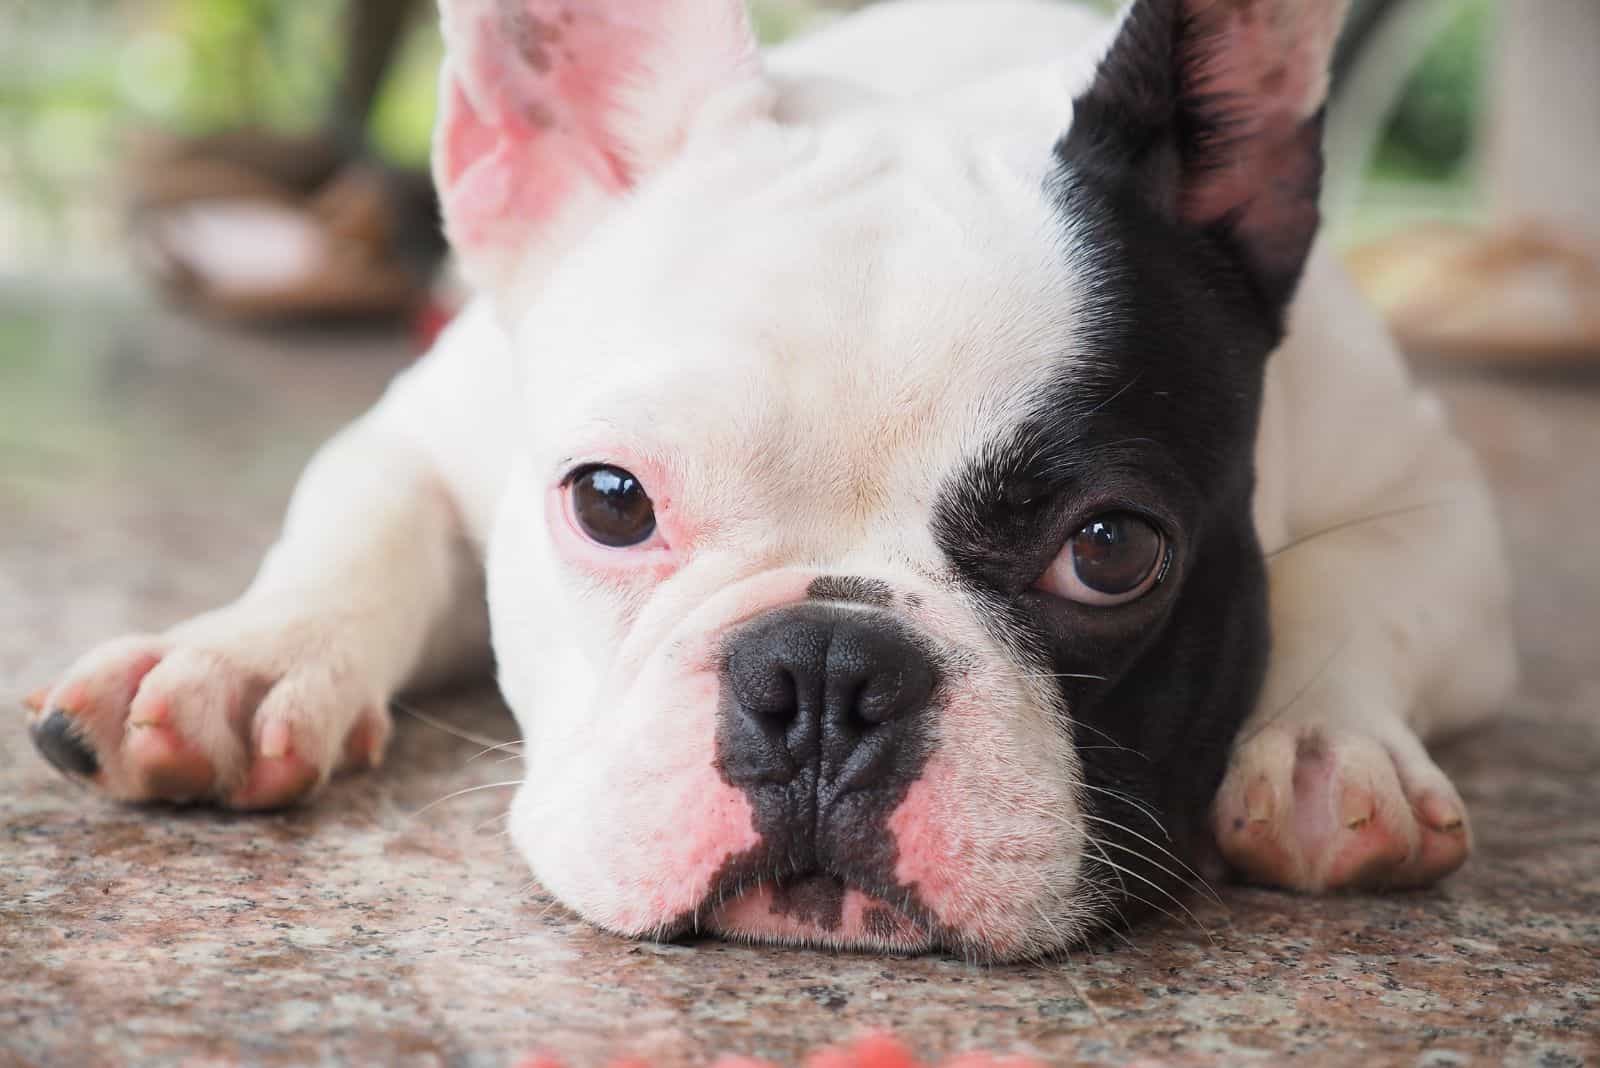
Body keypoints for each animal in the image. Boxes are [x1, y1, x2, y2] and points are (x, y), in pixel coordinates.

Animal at [28, 0, 1510, 965]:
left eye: (1111, 550)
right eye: (609, 500)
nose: (826, 676)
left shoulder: (1437, 499)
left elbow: (1350, 589)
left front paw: (1325, 750)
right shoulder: (427, 429)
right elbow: (359, 527)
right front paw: (237, 662)